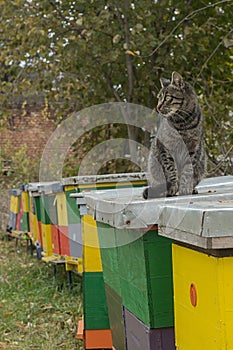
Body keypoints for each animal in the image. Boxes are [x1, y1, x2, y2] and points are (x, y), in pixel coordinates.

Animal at [144, 71, 206, 200]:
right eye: (159, 98)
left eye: (167, 98)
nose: (157, 107)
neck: (183, 122)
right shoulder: (164, 147)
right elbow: (170, 169)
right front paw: (173, 187)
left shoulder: (193, 149)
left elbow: (187, 170)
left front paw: (184, 187)